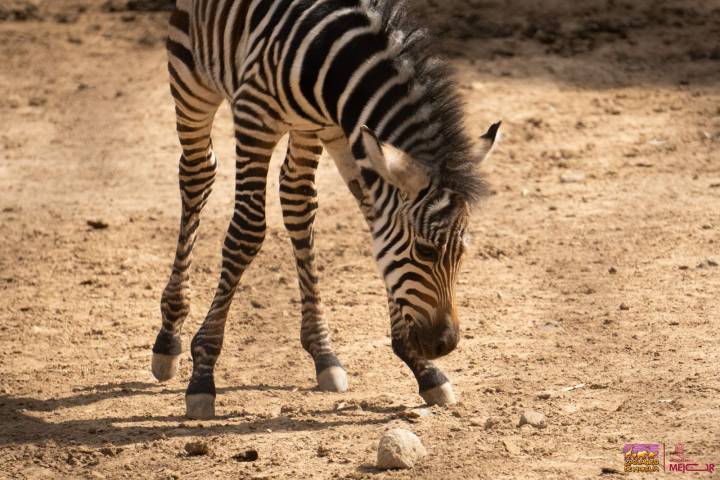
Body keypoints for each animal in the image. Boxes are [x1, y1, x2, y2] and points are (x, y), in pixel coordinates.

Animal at [151, 0, 500, 419]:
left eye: (462, 253)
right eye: (426, 251)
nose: (444, 345)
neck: (339, 59)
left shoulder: (345, 132)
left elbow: (376, 228)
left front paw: (422, 367)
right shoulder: (255, 115)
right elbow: (246, 231)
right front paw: (203, 373)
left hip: (312, 130)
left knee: (297, 199)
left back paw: (323, 353)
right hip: (190, 75)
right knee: (197, 173)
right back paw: (169, 335)